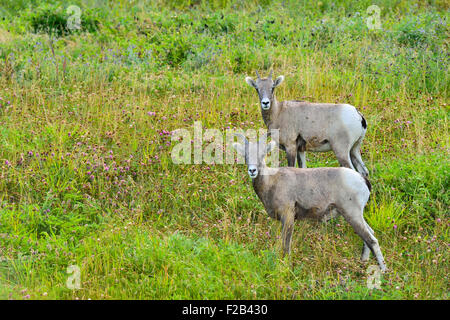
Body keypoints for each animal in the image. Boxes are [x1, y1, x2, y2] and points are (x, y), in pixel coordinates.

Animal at [234, 134, 384, 272]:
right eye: (246, 155)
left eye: (262, 154)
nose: (252, 170)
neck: (272, 181)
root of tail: (363, 180)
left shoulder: (288, 218)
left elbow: (286, 245)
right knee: (370, 235)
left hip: (352, 215)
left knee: (372, 240)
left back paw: (383, 271)